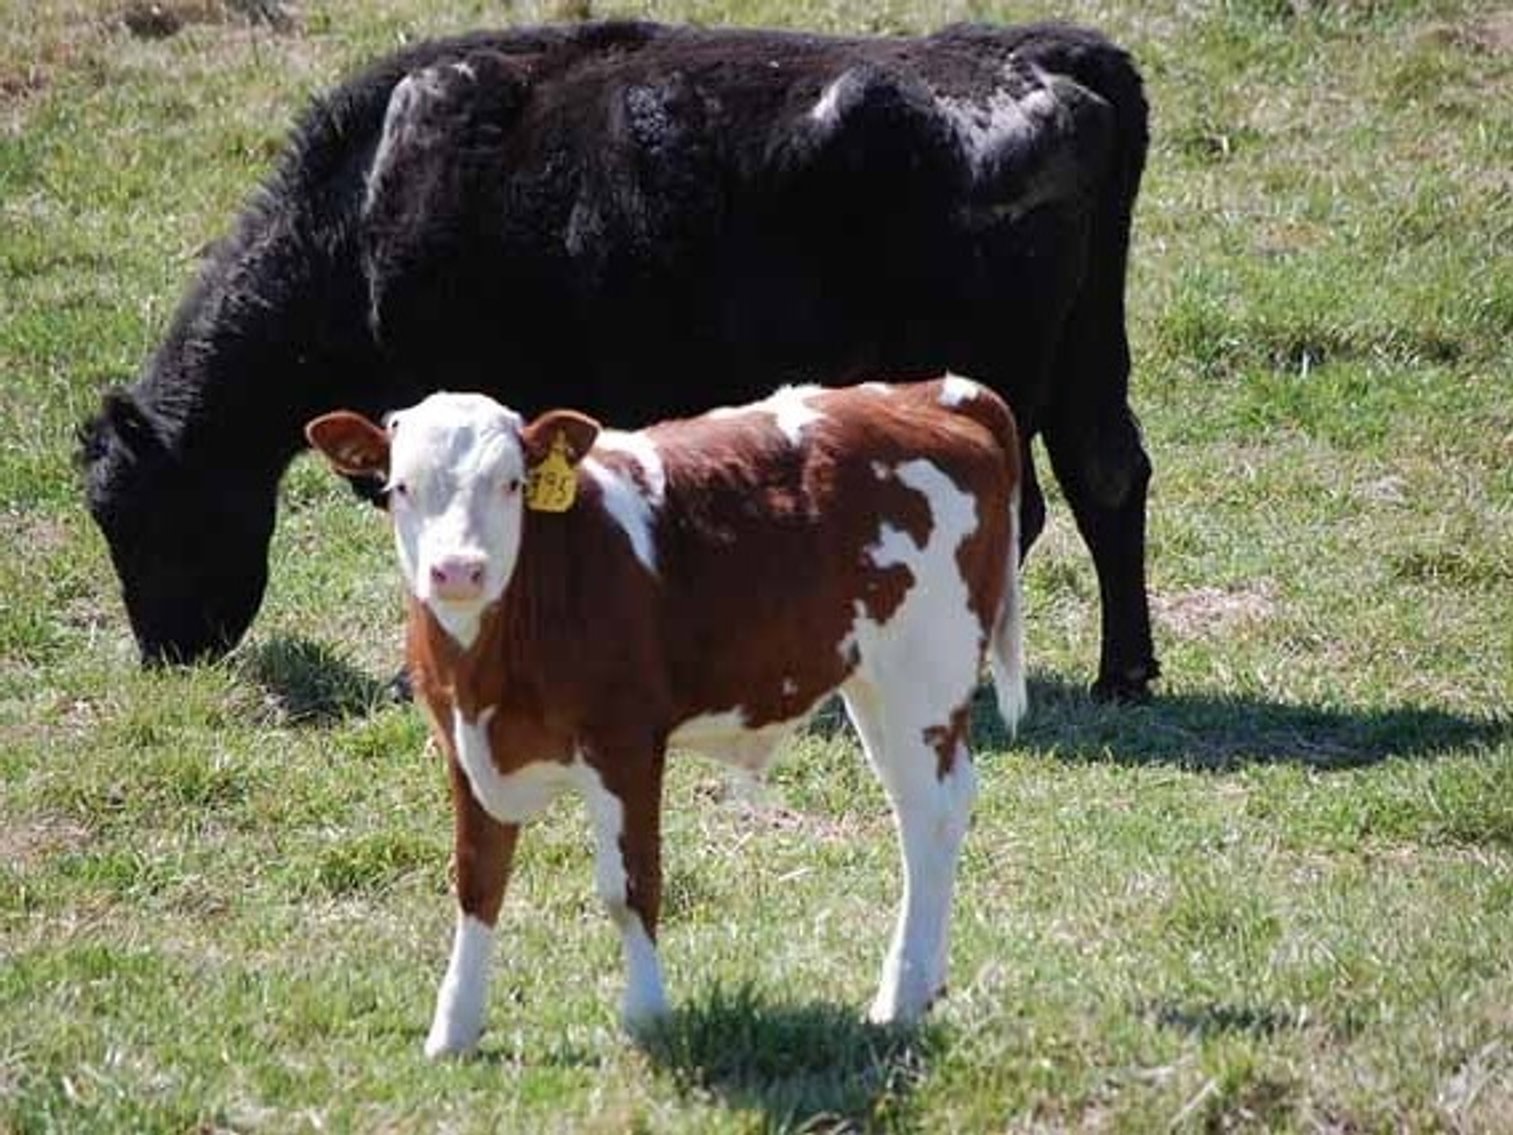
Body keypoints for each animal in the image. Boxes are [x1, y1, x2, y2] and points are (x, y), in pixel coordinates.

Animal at [78, 18, 1158, 700]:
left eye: (127, 513)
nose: (166, 652)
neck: (367, 204)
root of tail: (1044, 54)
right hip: (1084, 362)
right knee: (1107, 475)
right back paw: (1124, 676)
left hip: (989, 379)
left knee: (1020, 511)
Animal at [304, 375, 1026, 1053]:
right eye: (400, 487)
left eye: (510, 483)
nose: (457, 570)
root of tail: (930, 393)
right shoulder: (463, 745)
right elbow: (477, 881)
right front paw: (453, 1029)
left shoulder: (624, 742)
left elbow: (628, 886)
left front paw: (647, 1015)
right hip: (875, 684)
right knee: (926, 808)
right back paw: (923, 982)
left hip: (923, 675)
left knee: (930, 812)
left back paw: (897, 997)